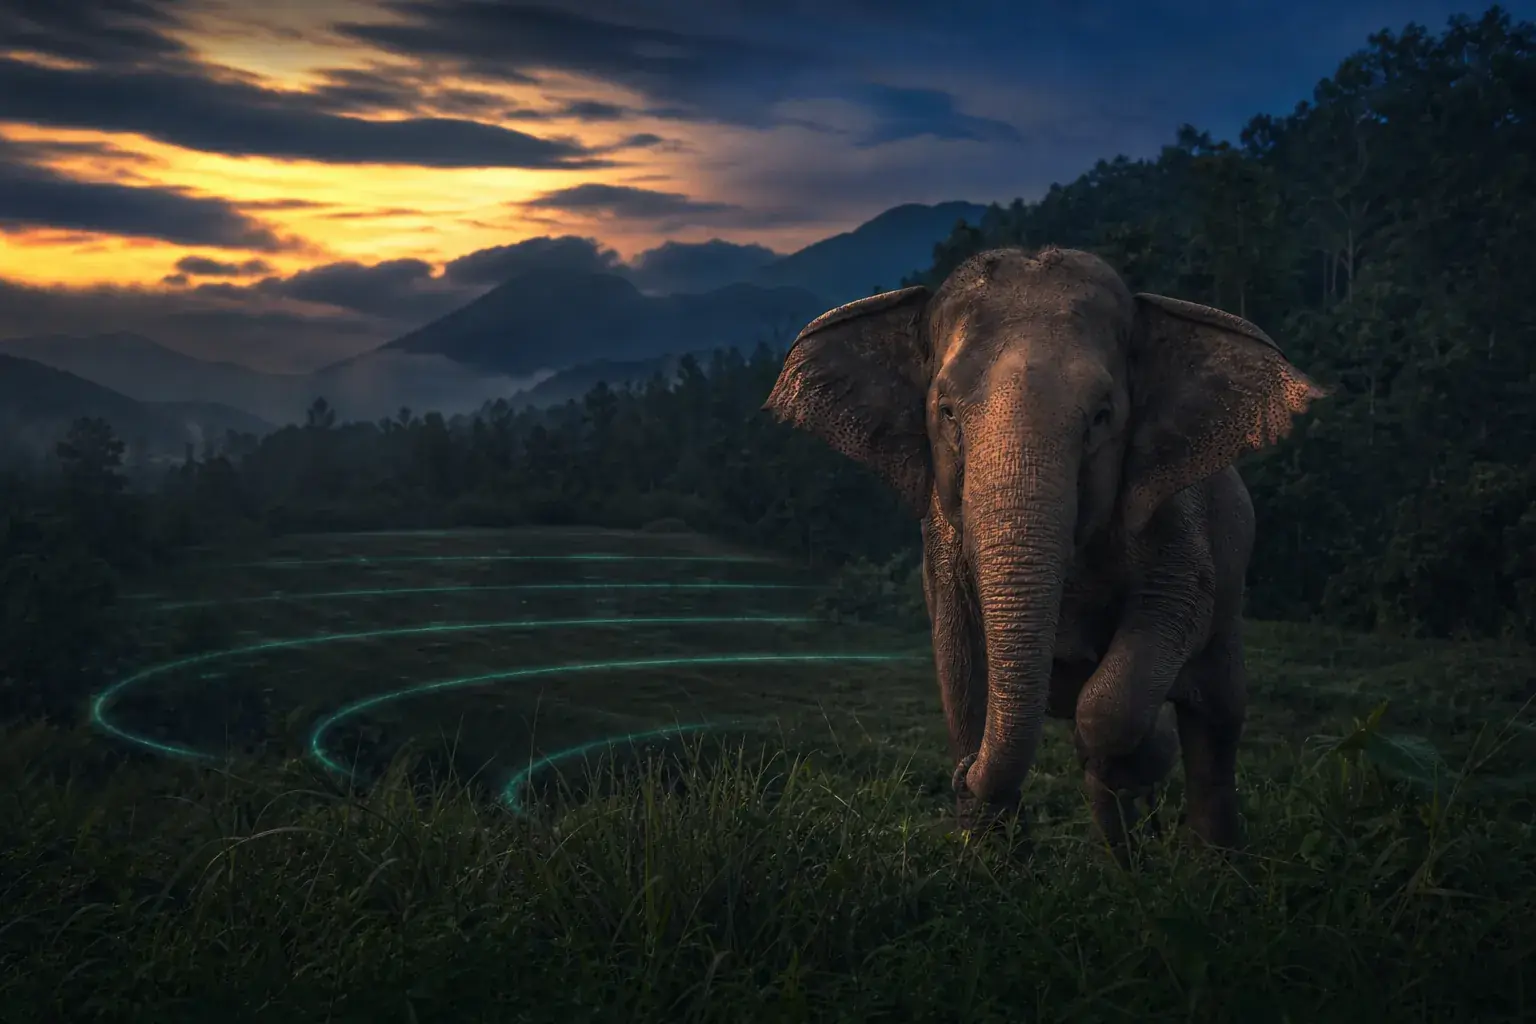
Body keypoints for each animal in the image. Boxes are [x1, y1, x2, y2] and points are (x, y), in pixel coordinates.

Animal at [762, 246, 1324, 856]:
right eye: (947, 412)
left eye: (1102, 415)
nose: (961, 776)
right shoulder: (942, 530)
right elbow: (959, 663)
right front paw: (988, 856)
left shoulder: (1176, 512)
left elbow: (1169, 615)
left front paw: (1135, 755)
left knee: (1217, 725)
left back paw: (1215, 862)